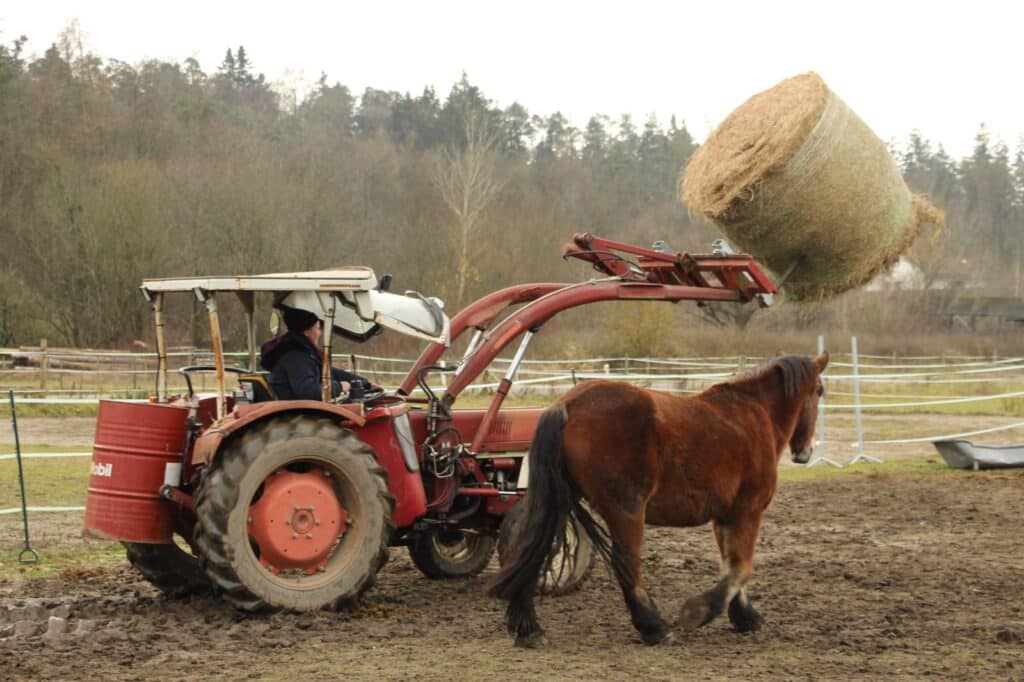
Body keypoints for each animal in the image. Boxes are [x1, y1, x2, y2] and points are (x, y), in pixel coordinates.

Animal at [488, 352, 828, 648]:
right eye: (820, 391)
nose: (806, 451)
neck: (752, 414)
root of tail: (568, 405)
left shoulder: (726, 517)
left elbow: (731, 565)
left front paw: (744, 616)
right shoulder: (748, 511)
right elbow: (740, 568)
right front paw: (700, 611)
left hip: (559, 504)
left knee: (531, 550)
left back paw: (529, 629)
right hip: (626, 511)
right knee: (626, 564)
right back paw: (654, 627)